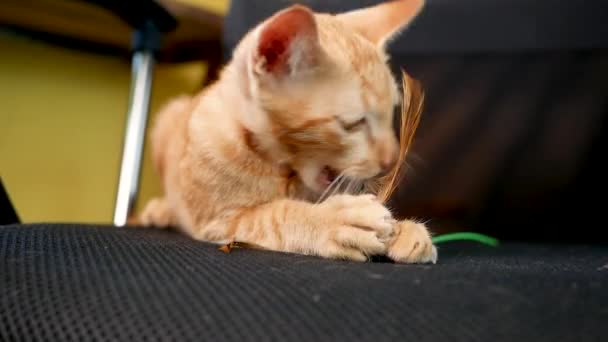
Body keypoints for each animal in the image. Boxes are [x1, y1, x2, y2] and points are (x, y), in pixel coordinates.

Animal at [139, 0, 436, 264]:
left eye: (390, 113)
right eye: (352, 124)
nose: (391, 160)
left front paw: (402, 228)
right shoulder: (219, 219)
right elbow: (273, 216)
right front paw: (331, 220)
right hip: (167, 118)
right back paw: (161, 209)